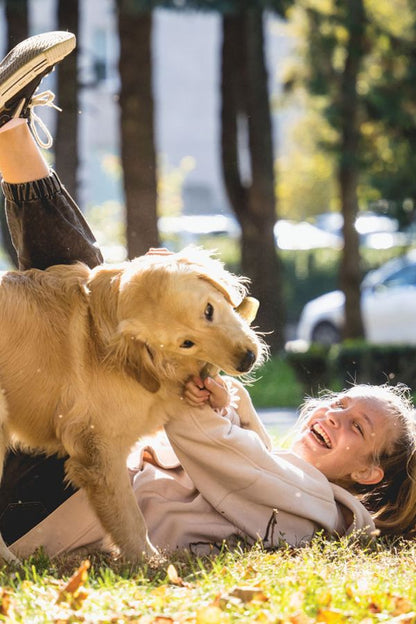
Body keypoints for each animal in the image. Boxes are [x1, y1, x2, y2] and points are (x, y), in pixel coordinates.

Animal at [0, 246, 264, 564]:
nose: (246, 359)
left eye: (209, 311)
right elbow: (130, 517)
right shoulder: (100, 453)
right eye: (186, 343)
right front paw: (149, 561)